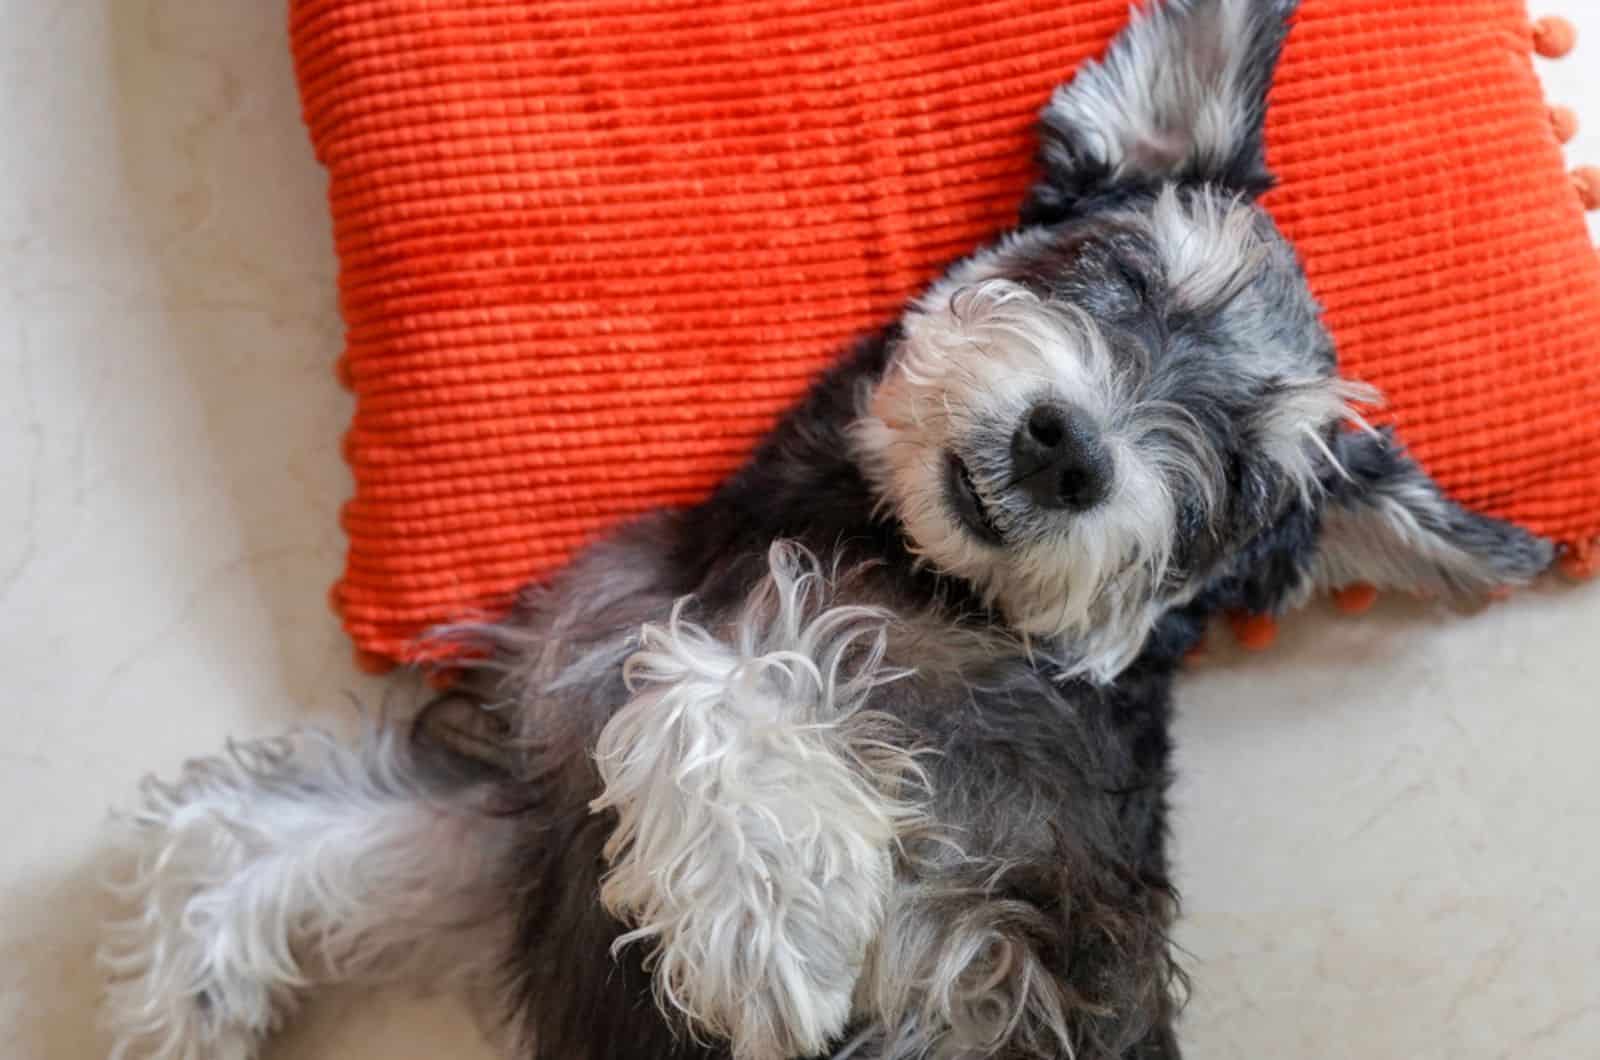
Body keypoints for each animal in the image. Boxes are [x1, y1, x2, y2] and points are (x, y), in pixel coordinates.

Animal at [100, 4, 1548, 1056]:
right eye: (1126, 271)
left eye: (1237, 482)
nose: (1070, 452)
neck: (875, 542)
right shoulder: (526, 802)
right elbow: (235, 833)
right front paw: (180, 1012)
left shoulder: (979, 939)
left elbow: (716, 675)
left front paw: (761, 925)